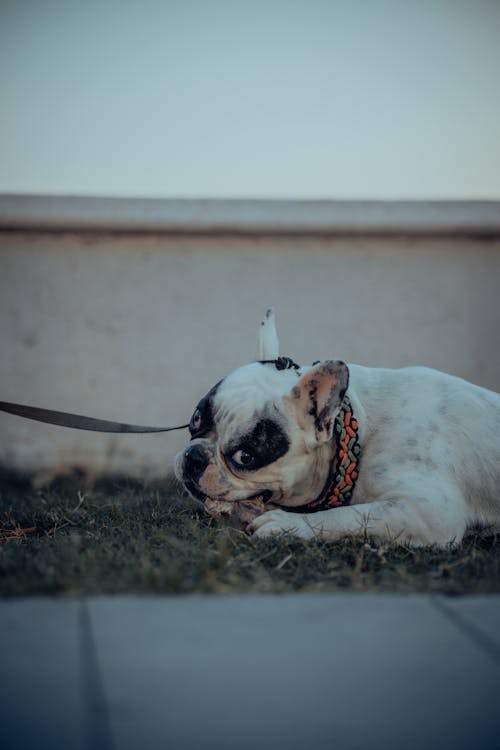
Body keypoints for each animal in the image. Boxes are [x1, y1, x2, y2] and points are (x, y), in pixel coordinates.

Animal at [176, 308, 500, 548]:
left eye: (245, 457)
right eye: (195, 419)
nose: (194, 457)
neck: (359, 433)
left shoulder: (431, 511)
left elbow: (353, 515)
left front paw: (288, 524)